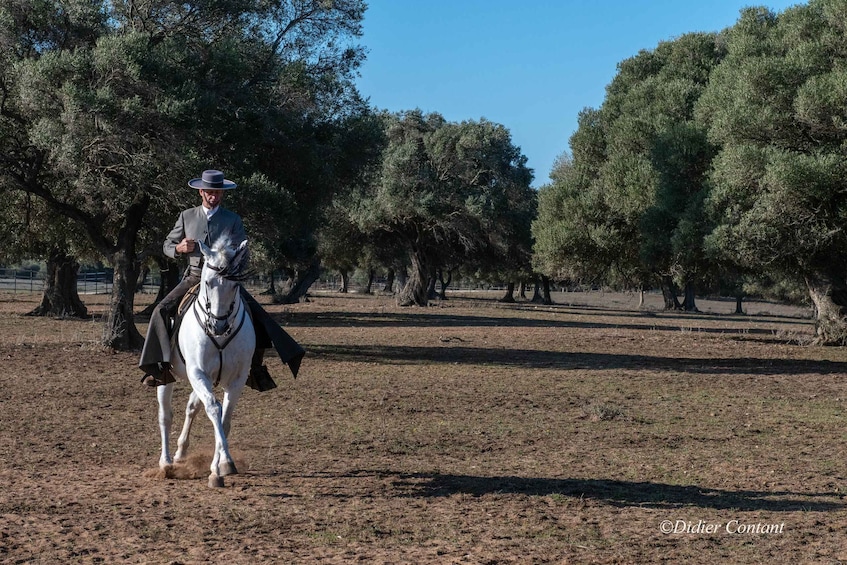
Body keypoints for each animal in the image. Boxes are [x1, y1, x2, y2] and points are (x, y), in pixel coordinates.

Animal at [156, 236, 255, 486]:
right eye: (208, 283)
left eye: (235, 285)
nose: (218, 326)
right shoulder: (198, 372)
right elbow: (214, 408)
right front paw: (215, 470)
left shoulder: (237, 378)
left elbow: (225, 418)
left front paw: (225, 463)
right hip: (166, 377)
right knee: (165, 416)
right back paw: (166, 462)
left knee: (192, 407)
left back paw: (181, 452)